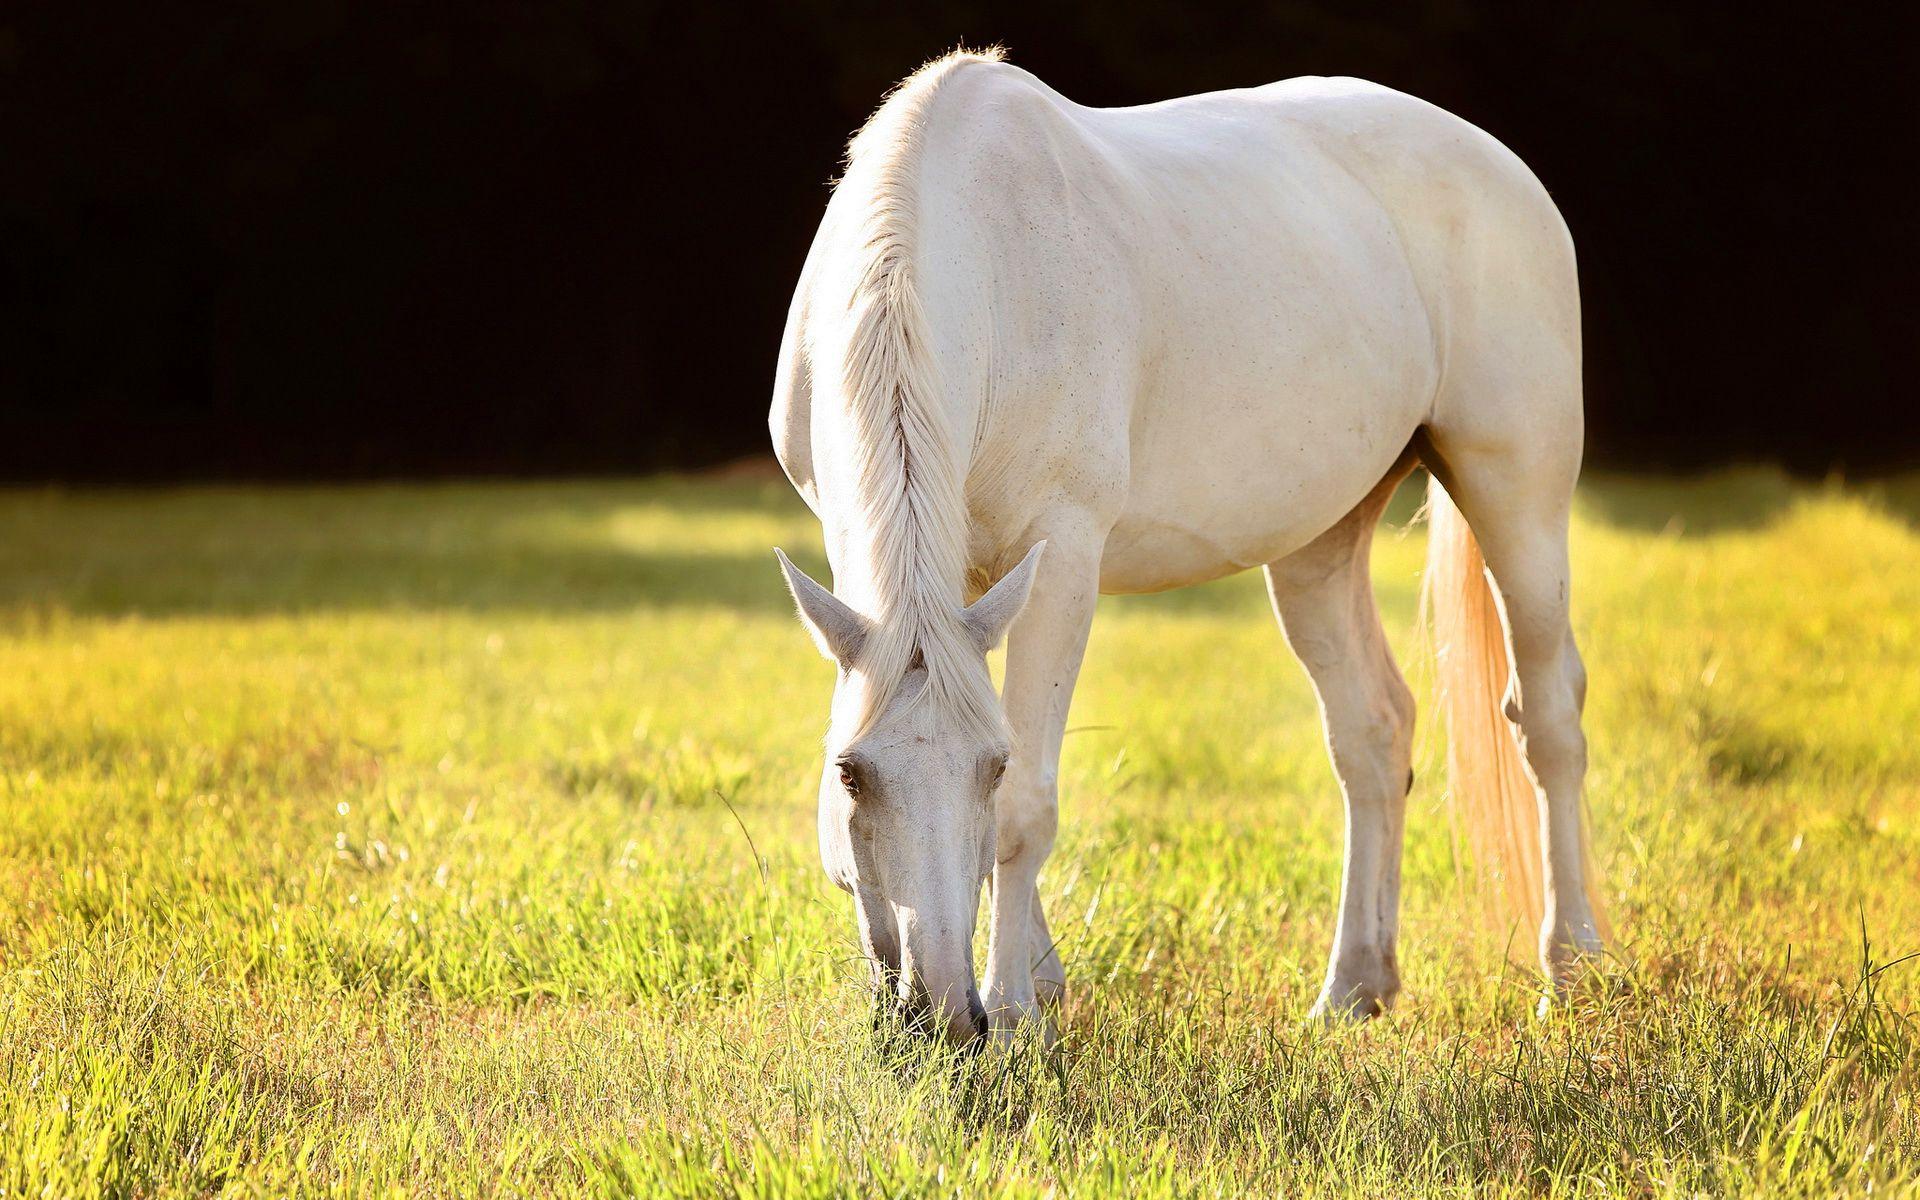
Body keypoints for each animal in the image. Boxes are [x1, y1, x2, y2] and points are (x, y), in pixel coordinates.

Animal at [770, 49, 1606, 1045]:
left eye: (988, 767)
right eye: (850, 773)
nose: (941, 1015)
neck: (984, 263)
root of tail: (1502, 166)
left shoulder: (1064, 553)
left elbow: (1026, 806)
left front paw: (1016, 1016)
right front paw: (1041, 983)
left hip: (1516, 489)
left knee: (1548, 719)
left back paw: (1573, 974)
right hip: (1320, 539)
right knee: (1372, 734)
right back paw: (1353, 989)